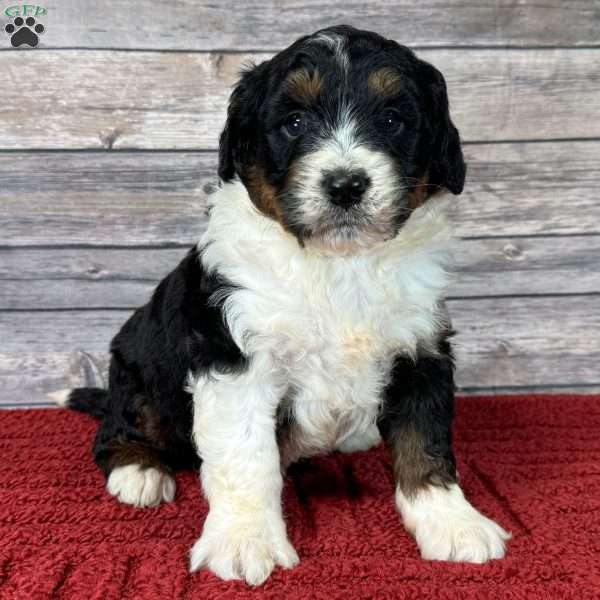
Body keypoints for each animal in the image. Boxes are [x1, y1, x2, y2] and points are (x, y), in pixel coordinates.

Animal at [52, 23, 510, 584]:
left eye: (392, 120)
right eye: (293, 123)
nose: (345, 185)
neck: (339, 265)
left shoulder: (421, 348)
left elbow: (425, 441)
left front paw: (451, 520)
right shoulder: (234, 357)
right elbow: (247, 458)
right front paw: (245, 539)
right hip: (138, 366)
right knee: (119, 428)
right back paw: (138, 471)